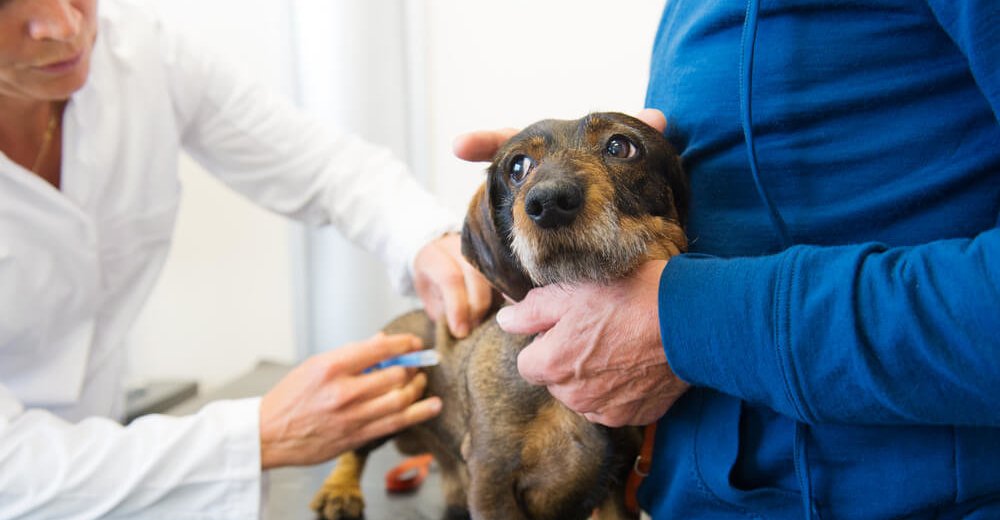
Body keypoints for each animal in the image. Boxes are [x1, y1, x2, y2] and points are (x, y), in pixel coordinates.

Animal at [312, 112, 688, 520]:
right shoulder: (492, 479)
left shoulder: (616, 487)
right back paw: (339, 490)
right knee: (355, 447)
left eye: (620, 146)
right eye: (518, 167)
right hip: (390, 392)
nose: (548, 202)